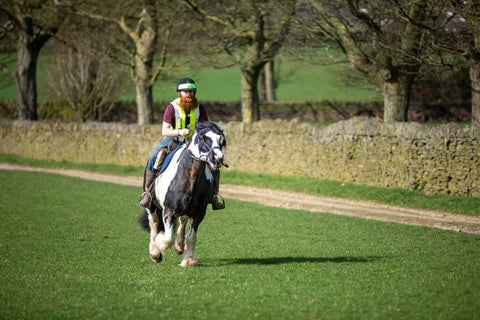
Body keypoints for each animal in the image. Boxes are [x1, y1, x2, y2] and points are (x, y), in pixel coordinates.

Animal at [140, 121, 228, 266]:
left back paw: (179, 246)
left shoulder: (199, 213)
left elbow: (191, 236)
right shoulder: (168, 210)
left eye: (220, 139)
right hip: (151, 205)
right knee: (153, 223)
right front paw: (159, 247)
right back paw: (154, 252)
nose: (217, 158)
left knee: (182, 221)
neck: (190, 176)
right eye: (203, 138)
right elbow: (168, 237)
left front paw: (188, 260)